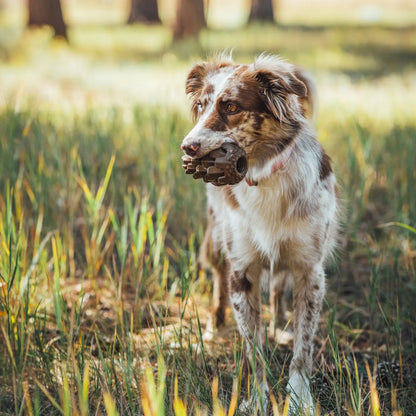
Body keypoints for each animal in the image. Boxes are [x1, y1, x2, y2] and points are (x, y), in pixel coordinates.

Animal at [181, 54, 338, 412]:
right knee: (218, 281)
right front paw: (256, 400)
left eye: (231, 106)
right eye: (201, 105)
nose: (188, 147)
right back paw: (214, 325)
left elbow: (303, 350)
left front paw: (299, 399)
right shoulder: (241, 271)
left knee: (279, 290)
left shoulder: (310, 270)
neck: (265, 177)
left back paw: (279, 326)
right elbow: (254, 353)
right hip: (217, 240)